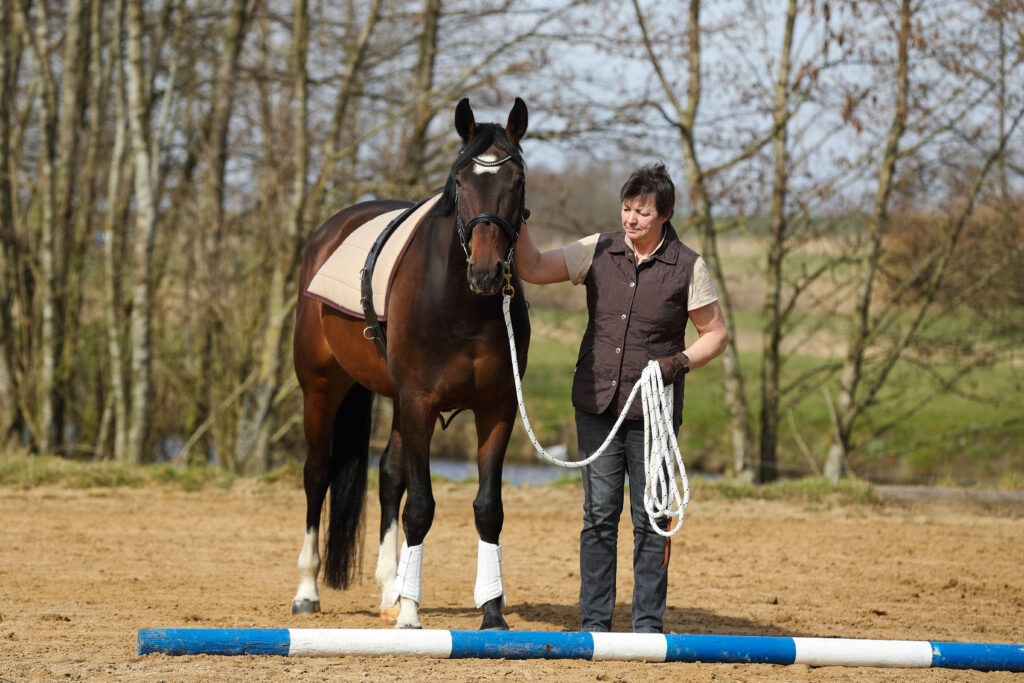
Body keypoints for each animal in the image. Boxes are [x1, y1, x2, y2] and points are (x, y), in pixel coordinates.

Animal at [290, 98, 530, 631]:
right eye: (460, 181)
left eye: (518, 180)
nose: (486, 273)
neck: (462, 305)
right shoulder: (421, 402)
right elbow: (420, 507)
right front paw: (411, 618)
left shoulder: (497, 409)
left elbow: (489, 509)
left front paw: (491, 612)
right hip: (321, 386)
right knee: (317, 473)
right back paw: (308, 591)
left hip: (396, 400)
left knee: (388, 475)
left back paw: (390, 590)